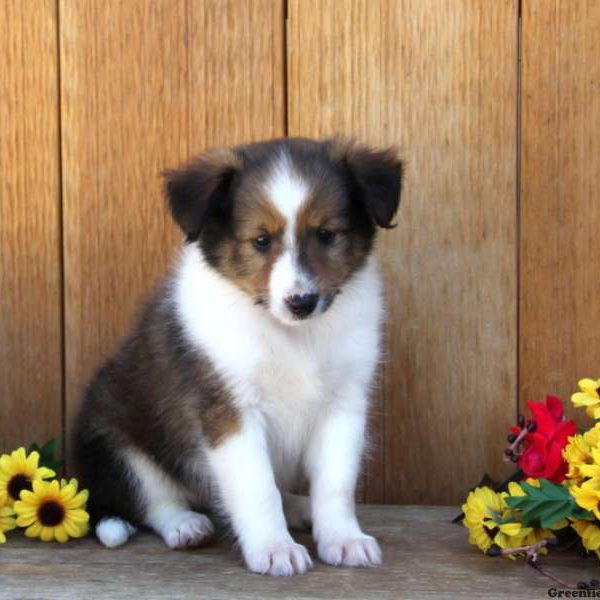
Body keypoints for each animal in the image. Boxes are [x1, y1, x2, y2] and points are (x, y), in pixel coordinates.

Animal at [74, 137, 404, 576]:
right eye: (261, 240)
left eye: (325, 234)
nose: (302, 302)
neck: (291, 334)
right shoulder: (229, 409)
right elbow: (257, 486)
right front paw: (274, 549)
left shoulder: (344, 403)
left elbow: (336, 483)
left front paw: (344, 540)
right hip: (116, 441)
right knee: (153, 499)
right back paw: (186, 525)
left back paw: (298, 506)